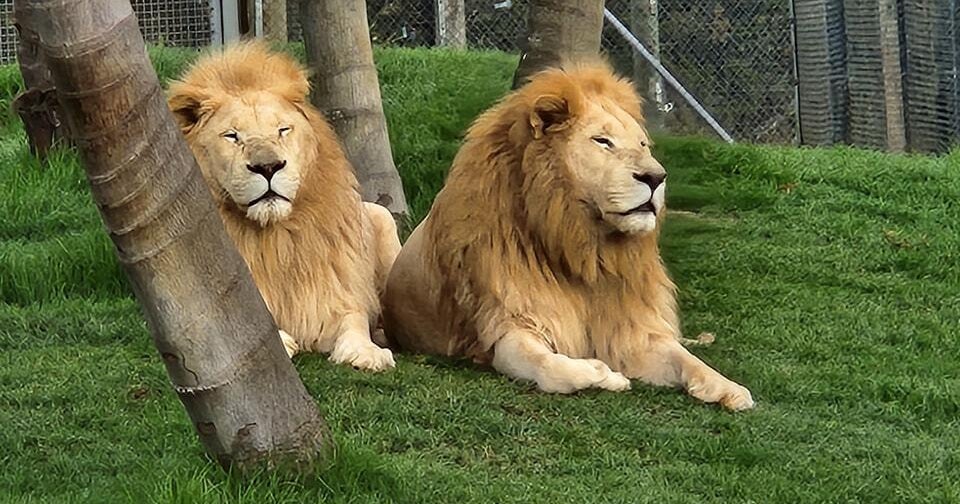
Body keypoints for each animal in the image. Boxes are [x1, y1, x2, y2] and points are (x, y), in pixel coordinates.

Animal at [167, 43, 400, 372]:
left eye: (282, 130)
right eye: (232, 136)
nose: (268, 167)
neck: (278, 239)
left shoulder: (337, 294)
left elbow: (354, 320)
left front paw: (366, 352)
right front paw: (283, 341)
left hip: (382, 216)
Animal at [383, 62, 754, 410]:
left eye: (642, 144)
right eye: (603, 141)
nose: (656, 177)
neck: (584, 248)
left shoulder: (631, 330)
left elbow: (684, 358)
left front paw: (730, 388)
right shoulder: (509, 325)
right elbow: (551, 366)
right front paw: (606, 375)